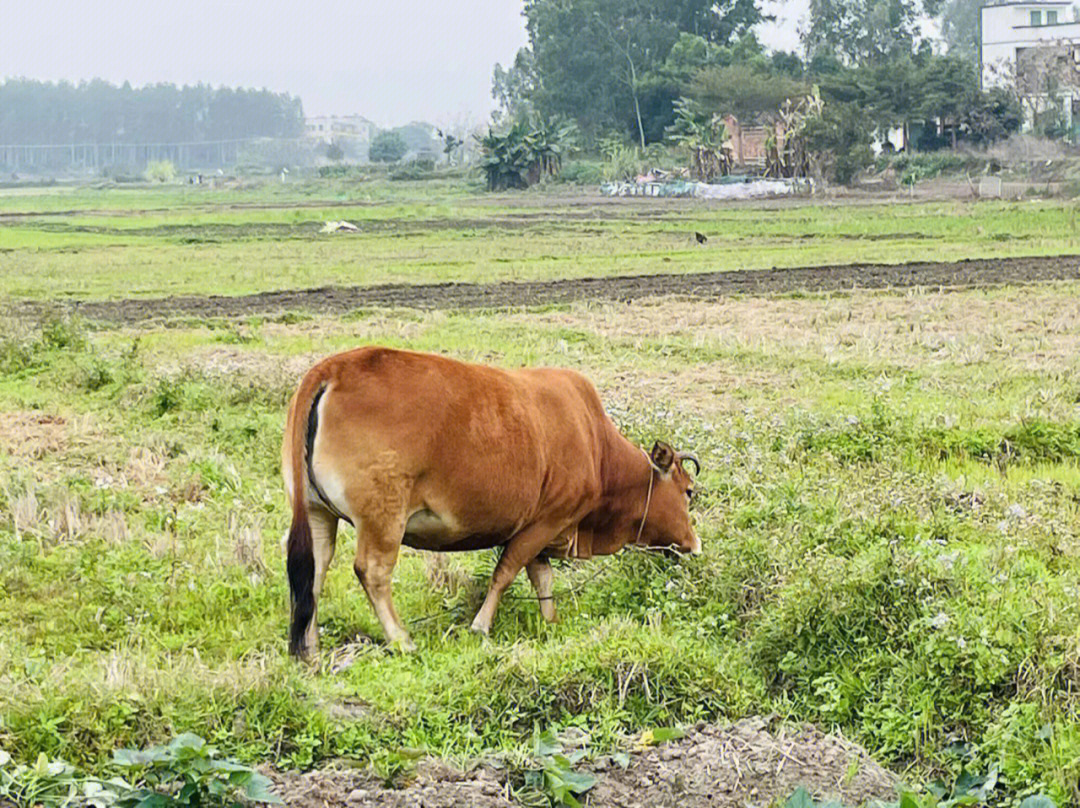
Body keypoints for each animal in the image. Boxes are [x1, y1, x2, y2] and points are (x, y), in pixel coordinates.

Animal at [280, 345, 699, 656]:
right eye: (688, 491)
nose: (694, 545)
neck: (594, 442)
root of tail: (334, 368)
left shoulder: (544, 530)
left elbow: (542, 577)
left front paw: (550, 621)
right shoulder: (546, 520)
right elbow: (506, 573)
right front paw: (481, 626)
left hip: (316, 512)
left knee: (314, 571)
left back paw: (310, 646)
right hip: (384, 516)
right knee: (372, 571)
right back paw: (401, 639)